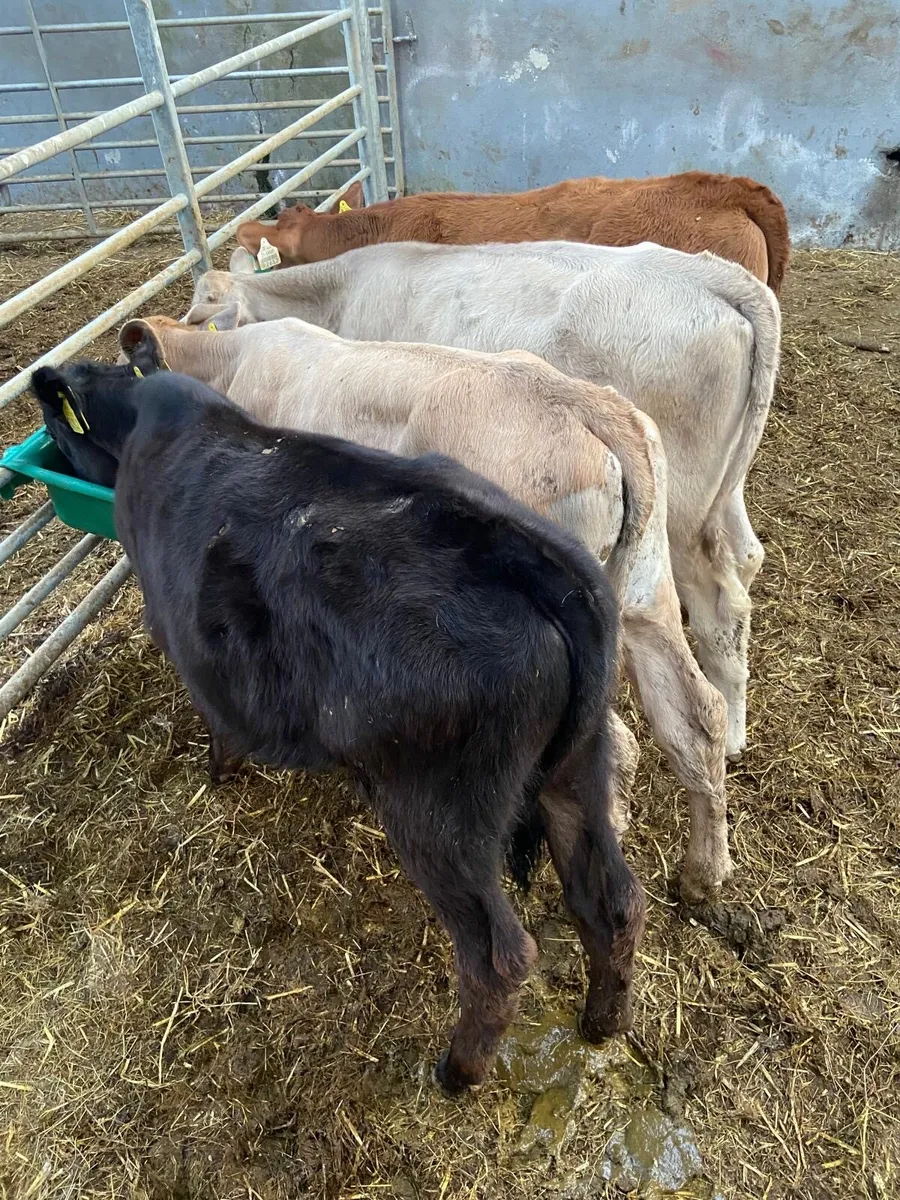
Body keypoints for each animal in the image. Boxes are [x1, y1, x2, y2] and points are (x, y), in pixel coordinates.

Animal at [30, 359, 644, 1094]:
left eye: (55, 427)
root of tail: (524, 555)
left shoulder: (182, 633)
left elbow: (218, 716)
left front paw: (220, 768)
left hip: (438, 814)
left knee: (497, 958)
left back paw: (458, 1072)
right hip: (579, 766)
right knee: (612, 901)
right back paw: (602, 1022)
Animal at [113, 313, 730, 902]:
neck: (233, 362)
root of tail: (585, 403)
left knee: (617, 751)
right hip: (645, 594)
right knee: (697, 717)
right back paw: (704, 873)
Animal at [186, 239, 780, 773]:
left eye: (206, 309)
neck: (342, 292)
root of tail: (716, 276)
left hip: (682, 513)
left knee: (719, 600)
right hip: (710, 500)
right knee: (744, 564)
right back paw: (733, 730)